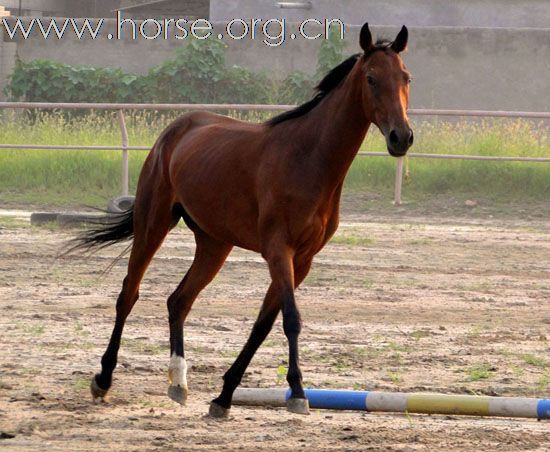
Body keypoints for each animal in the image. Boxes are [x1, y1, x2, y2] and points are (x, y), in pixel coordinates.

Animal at [75, 23, 416, 416]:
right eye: (372, 78)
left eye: (406, 77)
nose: (401, 137)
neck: (308, 157)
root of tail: (176, 130)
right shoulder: (278, 250)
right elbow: (291, 319)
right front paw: (297, 393)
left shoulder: (303, 259)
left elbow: (264, 324)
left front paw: (224, 396)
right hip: (153, 223)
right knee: (129, 294)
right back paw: (103, 379)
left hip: (214, 244)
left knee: (179, 301)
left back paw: (178, 382)